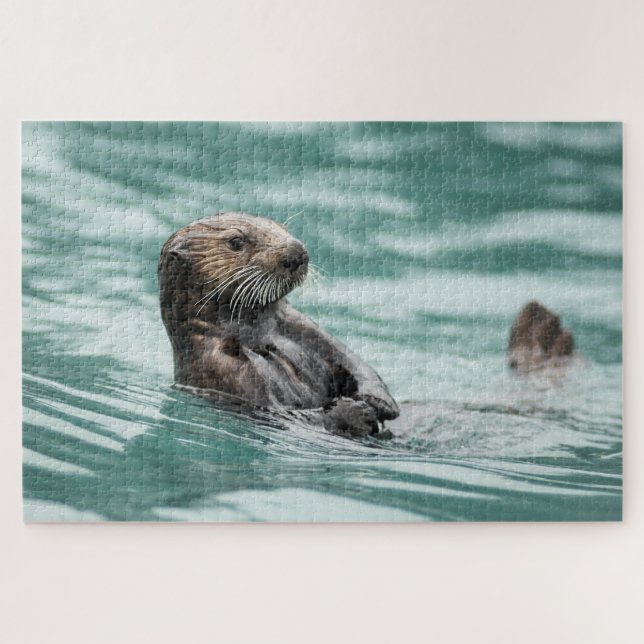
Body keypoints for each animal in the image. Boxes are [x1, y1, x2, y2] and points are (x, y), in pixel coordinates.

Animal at [158, 213, 399, 438]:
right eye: (235, 241)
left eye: (282, 228)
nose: (296, 251)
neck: (259, 335)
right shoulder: (223, 369)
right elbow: (290, 415)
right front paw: (356, 411)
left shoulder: (302, 326)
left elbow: (351, 359)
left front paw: (379, 401)